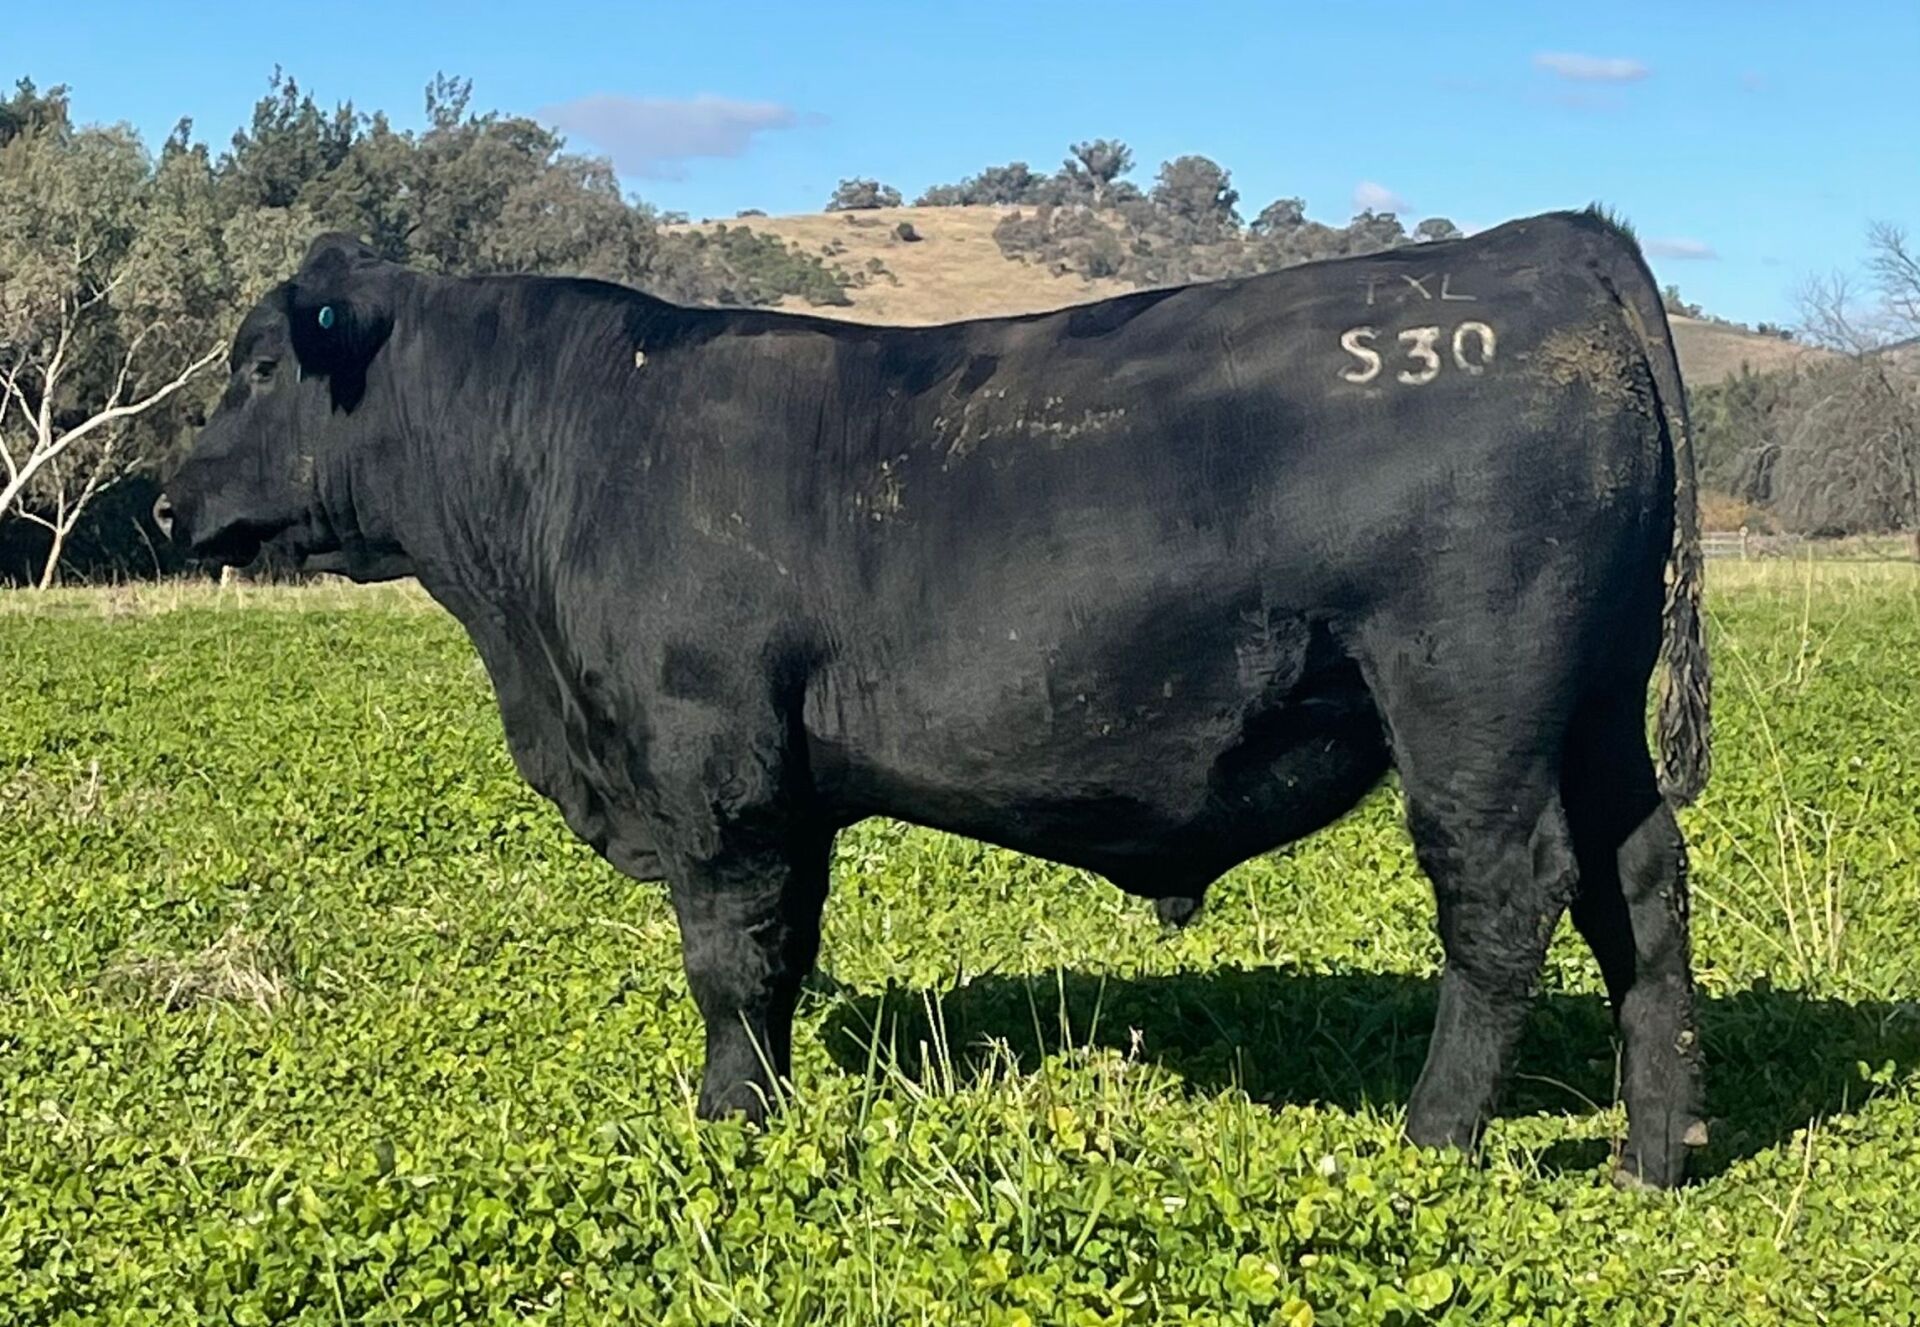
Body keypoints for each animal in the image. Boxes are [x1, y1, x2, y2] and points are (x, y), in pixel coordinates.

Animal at [155, 206, 1712, 1188]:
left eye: (258, 365)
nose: (166, 500)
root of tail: (1550, 243)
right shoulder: (786, 787)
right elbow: (782, 954)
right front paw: (769, 1105)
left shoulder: (714, 765)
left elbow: (728, 959)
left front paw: (726, 1122)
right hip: (1595, 708)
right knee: (1639, 886)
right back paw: (1650, 1155)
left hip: (1471, 704)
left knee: (1505, 899)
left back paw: (1434, 1141)